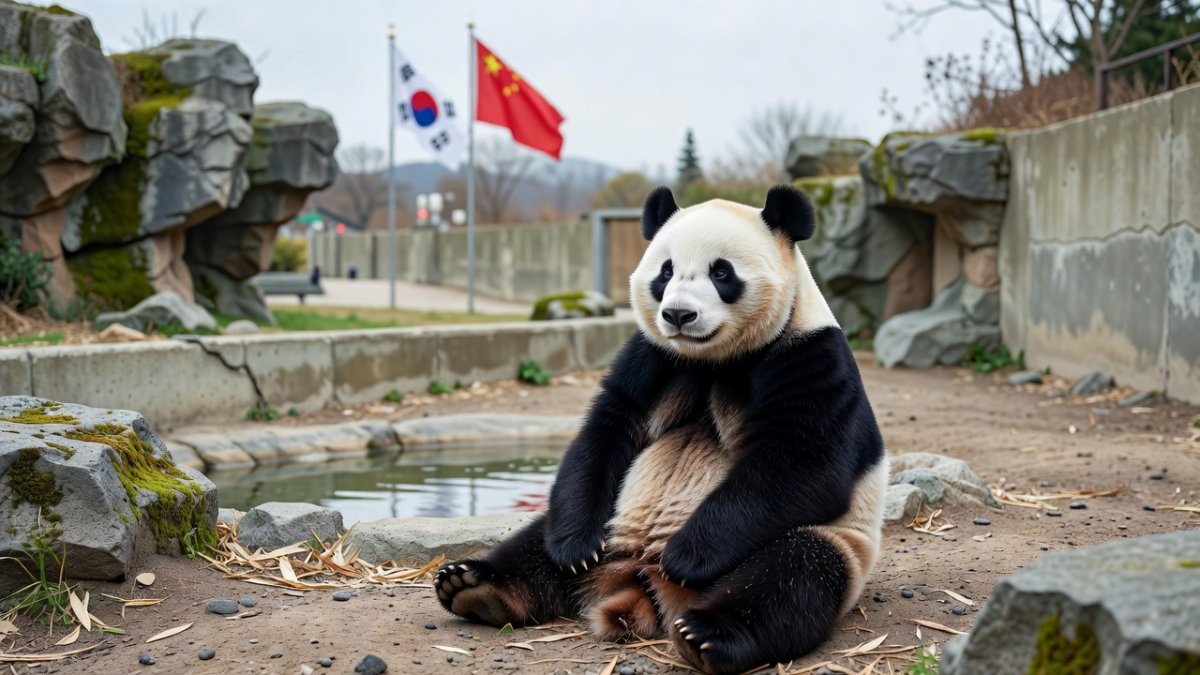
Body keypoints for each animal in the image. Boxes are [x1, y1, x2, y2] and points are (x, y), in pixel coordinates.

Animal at [434, 185, 888, 675]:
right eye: (665, 270)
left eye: (721, 272)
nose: (678, 315)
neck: (713, 358)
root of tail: (637, 577)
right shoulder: (652, 355)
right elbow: (607, 430)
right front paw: (575, 546)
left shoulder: (810, 356)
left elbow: (802, 464)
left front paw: (686, 555)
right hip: (611, 523)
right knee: (533, 543)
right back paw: (475, 587)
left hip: (837, 542)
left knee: (793, 573)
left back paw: (704, 633)